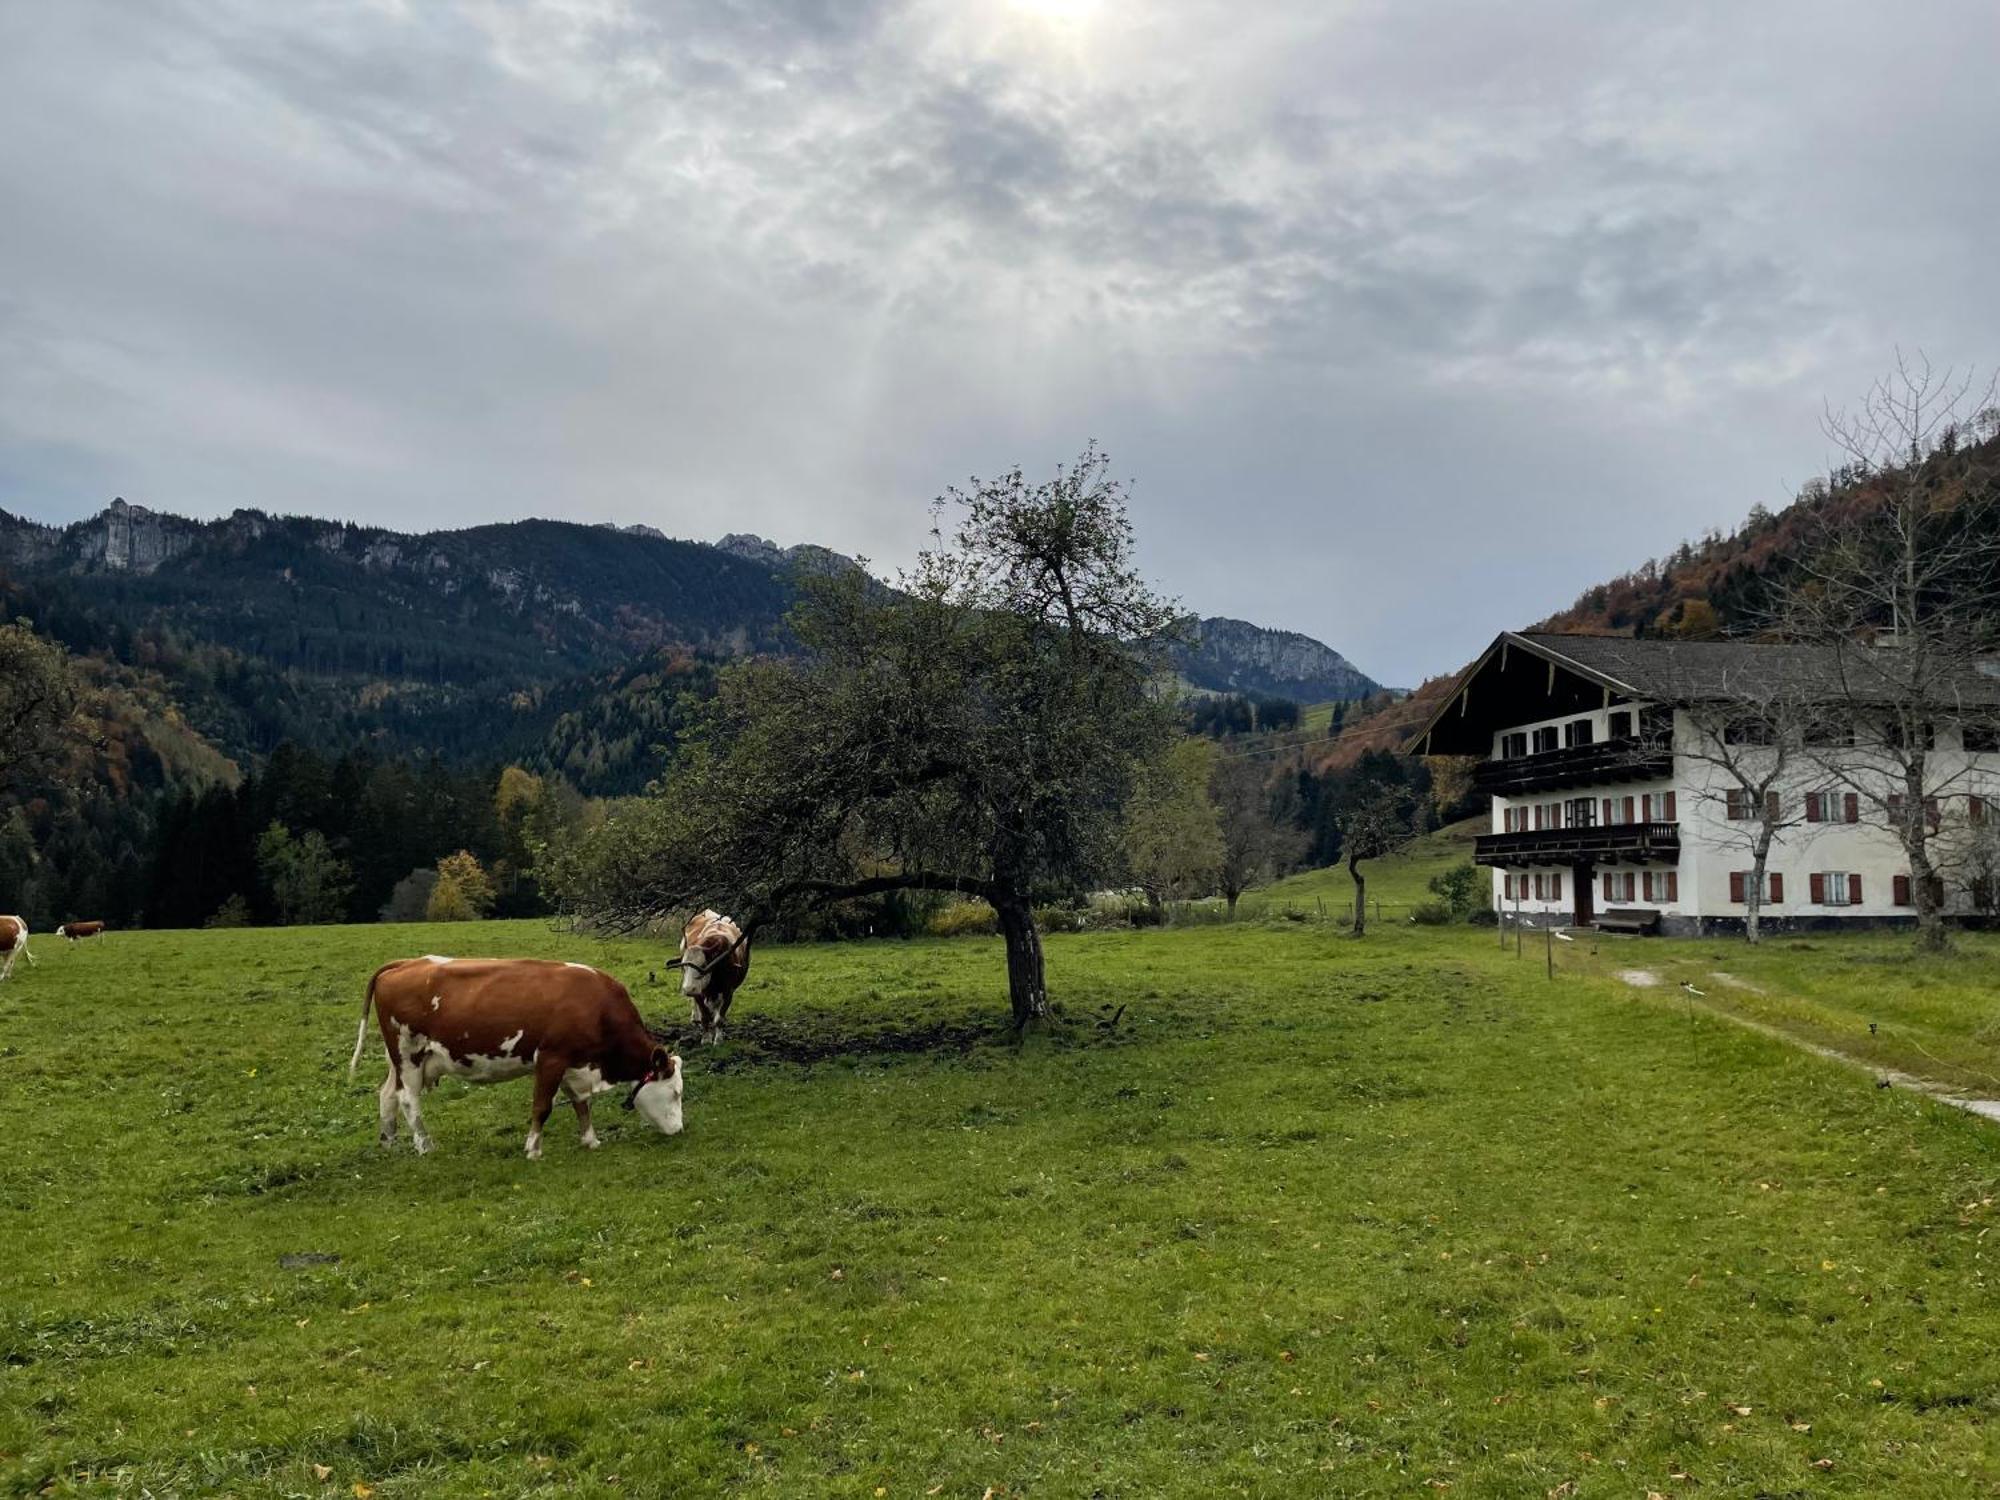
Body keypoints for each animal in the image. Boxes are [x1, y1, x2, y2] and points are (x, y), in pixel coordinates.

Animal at [348, 964, 684, 1160]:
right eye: (676, 1092)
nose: (680, 1129)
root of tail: (406, 964)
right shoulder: (551, 1058)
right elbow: (543, 1106)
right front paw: (533, 1148)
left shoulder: (575, 1064)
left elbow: (581, 1104)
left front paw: (590, 1140)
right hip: (409, 1055)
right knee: (408, 1099)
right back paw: (424, 1145)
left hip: (400, 1060)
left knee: (387, 1093)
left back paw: (388, 1141)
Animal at [684, 916, 752, 1048]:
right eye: (684, 966)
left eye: (703, 965)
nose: (688, 989)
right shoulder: (699, 992)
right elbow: (704, 1016)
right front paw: (706, 1039)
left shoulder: (728, 992)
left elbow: (719, 1017)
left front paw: (718, 1039)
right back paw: (696, 1018)